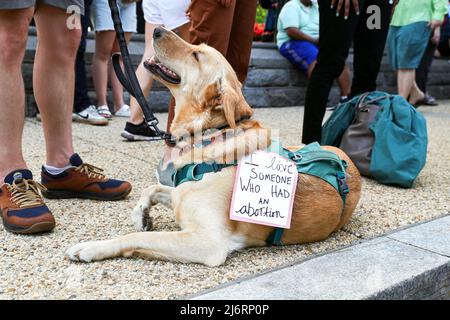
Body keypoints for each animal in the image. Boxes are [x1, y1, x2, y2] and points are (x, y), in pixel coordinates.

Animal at [67, 28, 362, 268]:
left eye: (197, 55)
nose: (158, 30)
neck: (208, 136)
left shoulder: (207, 242)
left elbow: (135, 237)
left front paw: (90, 247)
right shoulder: (180, 192)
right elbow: (152, 189)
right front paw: (141, 214)